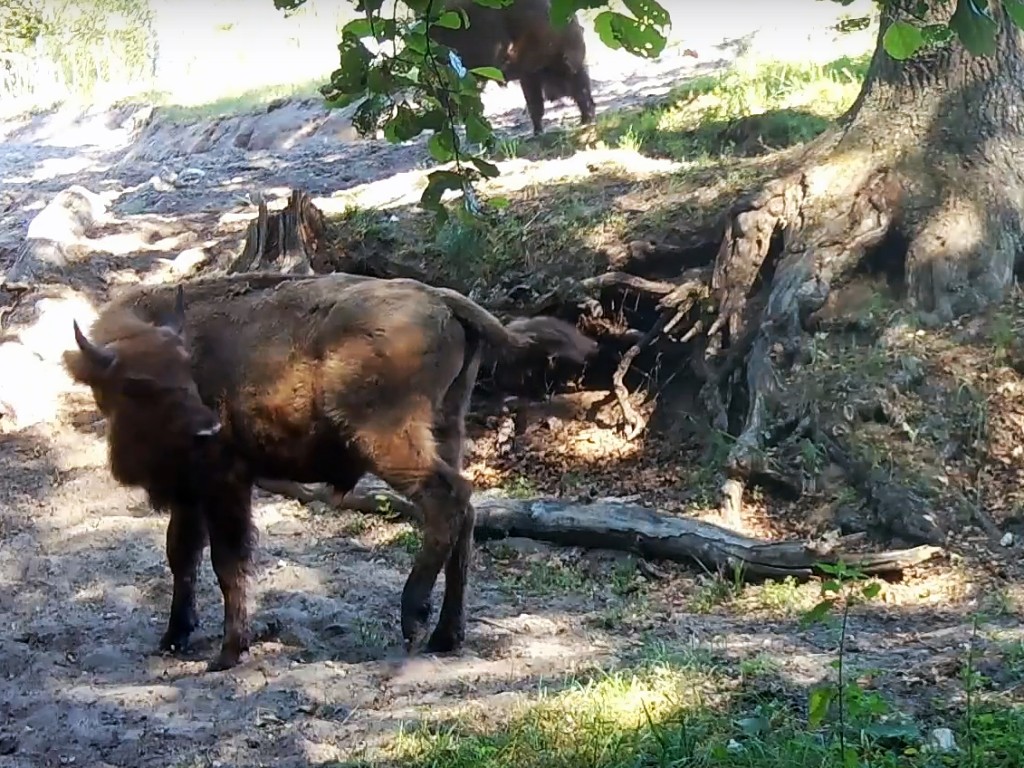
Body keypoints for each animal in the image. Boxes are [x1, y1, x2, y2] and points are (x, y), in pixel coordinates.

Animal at [61, 274, 598, 671]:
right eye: (139, 384)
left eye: (185, 370)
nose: (210, 427)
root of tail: (442, 299)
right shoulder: (187, 492)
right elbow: (182, 558)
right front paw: (174, 636)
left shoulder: (224, 485)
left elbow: (226, 563)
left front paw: (228, 653)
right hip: (448, 426)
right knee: (466, 512)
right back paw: (446, 636)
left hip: (389, 442)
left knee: (447, 501)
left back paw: (414, 618)